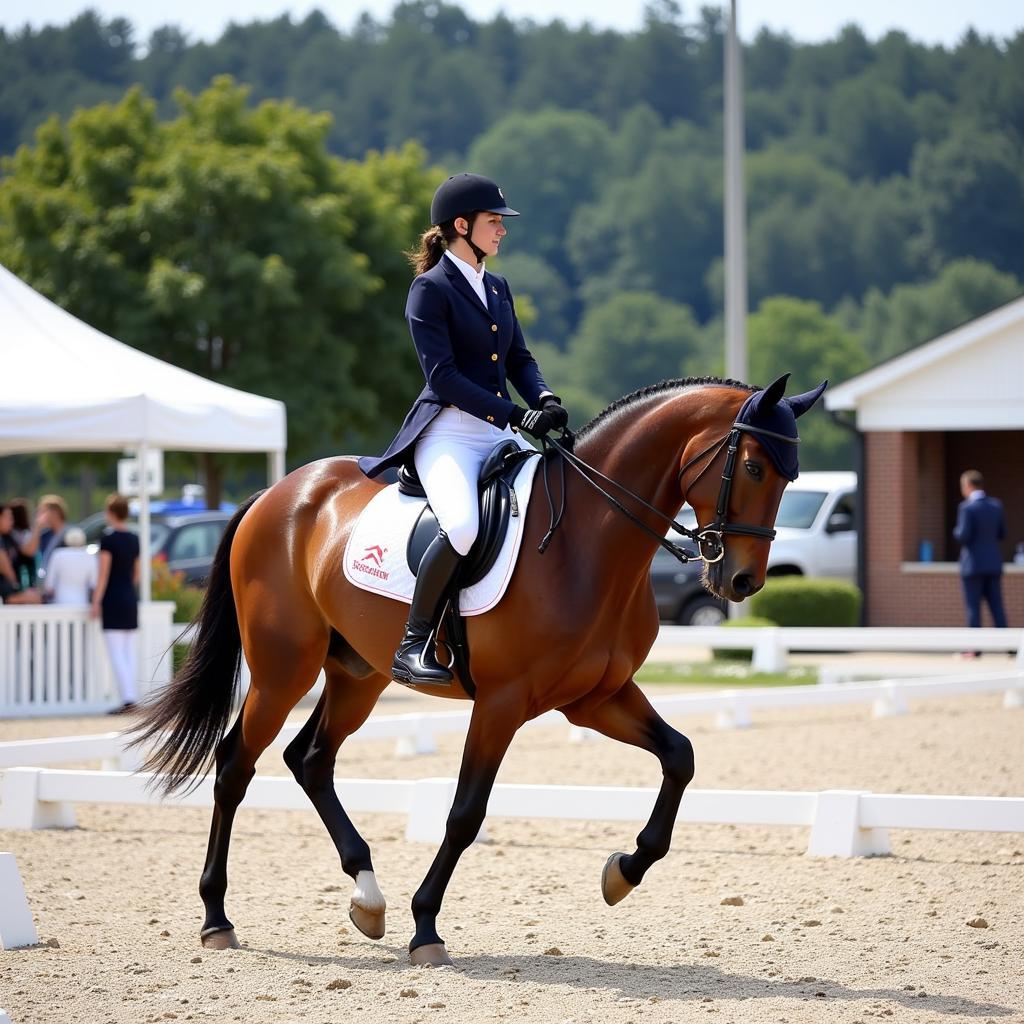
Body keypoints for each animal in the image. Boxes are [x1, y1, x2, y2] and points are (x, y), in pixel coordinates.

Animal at [134, 372, 823, 962]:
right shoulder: (503, 702)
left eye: (789, 478)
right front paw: (426, 928)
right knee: (235, 765)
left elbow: (680, 756)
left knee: (310, 759)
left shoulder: (595, 698)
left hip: (358, 674)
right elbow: (466, 812)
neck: (588, 542)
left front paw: (623, 872)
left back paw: (367, 896)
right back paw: (217, 918)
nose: (741, 582)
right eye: (754, 466)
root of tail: (277, 494)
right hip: (284, 671)